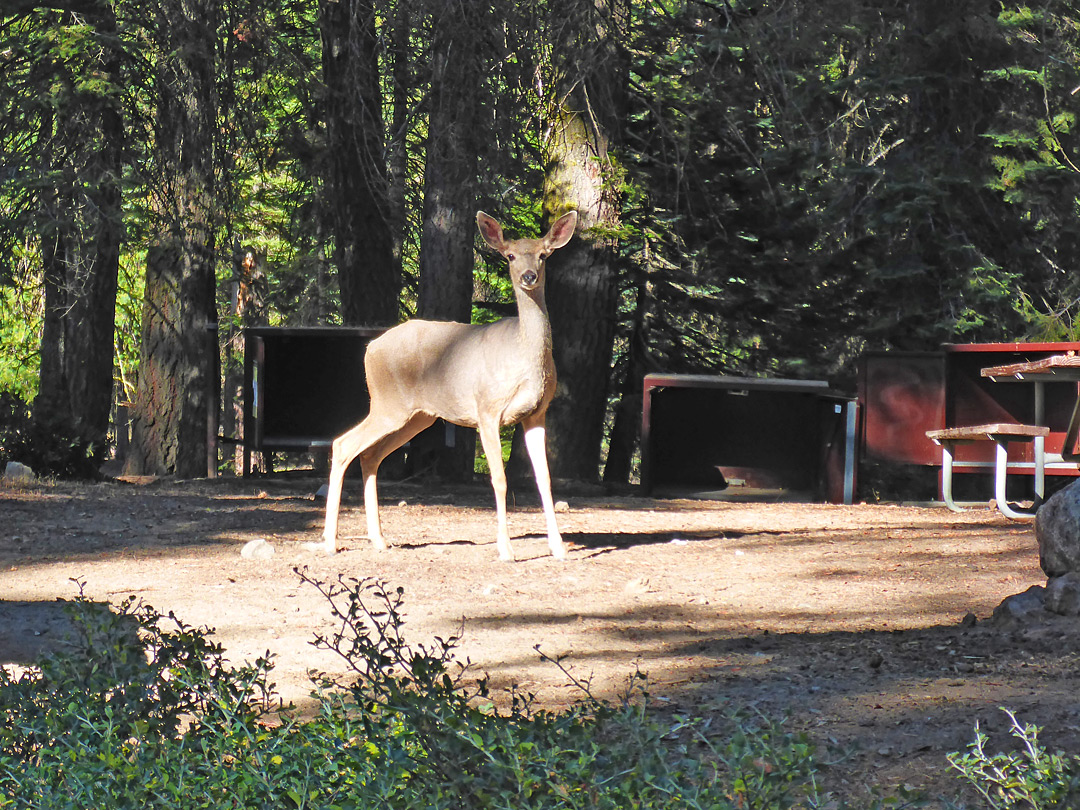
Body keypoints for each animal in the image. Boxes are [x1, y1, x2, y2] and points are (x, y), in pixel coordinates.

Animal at [316, 209, 578, 561]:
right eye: (509, 255)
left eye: (543, 255)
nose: (528, 276)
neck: (523, 355)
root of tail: (370, 349)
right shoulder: (487, 408)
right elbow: (499, 479)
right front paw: (506, 550)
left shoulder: (537, 412)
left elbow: (545, 479)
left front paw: (559, 548)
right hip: (388, 404)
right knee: (344, 444)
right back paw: (330, 542)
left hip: (418, 416)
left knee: (370, 455)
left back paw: (380, 540)